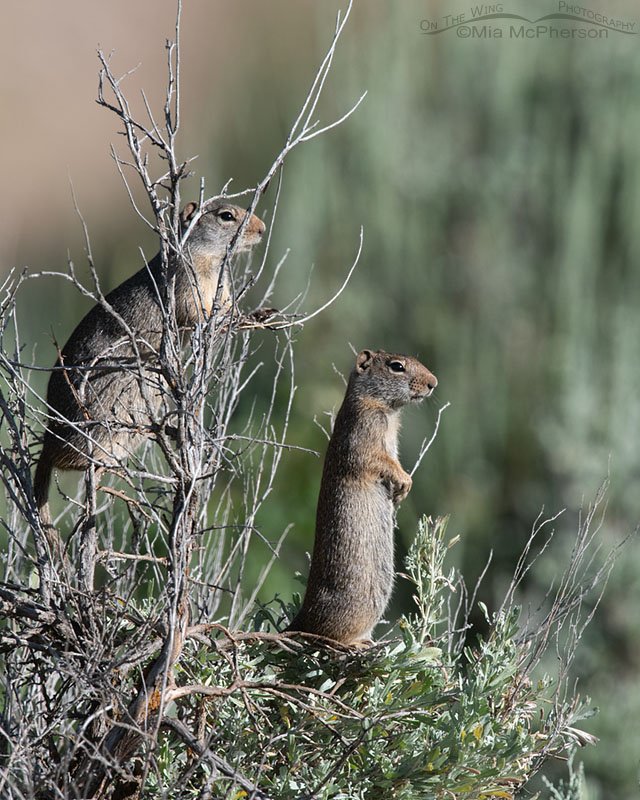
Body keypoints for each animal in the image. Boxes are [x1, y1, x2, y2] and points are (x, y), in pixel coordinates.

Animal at [34, 199, 265, 529]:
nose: (262, 229)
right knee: (70, 462)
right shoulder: (185, 284)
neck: (209, 260)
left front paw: (255, 315)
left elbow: (228, 306)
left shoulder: (221, 290)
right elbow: (199, 313)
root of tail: (49, 438)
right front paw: (238, 318)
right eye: (226, 216)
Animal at [287, 349, 437, 647]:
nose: (433, 383)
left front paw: (401, 492)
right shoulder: (364, 432)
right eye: (396, 366)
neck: (387, 410)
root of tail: (302, 618)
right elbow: (379, 461)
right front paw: (404, 482)